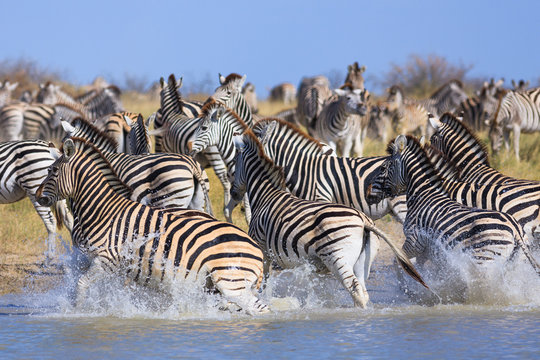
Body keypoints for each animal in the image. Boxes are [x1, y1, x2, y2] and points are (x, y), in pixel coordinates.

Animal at [35, 136, 268, 314]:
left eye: (52, 171)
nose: (37, 197)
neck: (102, 212)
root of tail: (257, 249)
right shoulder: (88, 258)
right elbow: (79, 282)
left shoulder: (108, 260)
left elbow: (81, 284)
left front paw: (77, 311)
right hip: (218, 285)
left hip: (231, 282)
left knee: (259, 309)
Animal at [228, 131, 426, 308]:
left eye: (235, 163)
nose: (233, 193)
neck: (265, 194)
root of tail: (364, 221)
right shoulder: (311, 265)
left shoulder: (263, 251)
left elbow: (263, 285)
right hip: (362, 261)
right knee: (363, 291)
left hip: (338, 256)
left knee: (355, 290)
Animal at [362, 135, 540, 292]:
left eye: (383, 168)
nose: (367, 194)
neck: (423, 193)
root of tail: (515, 230)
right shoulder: (427, 249)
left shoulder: (414, 240)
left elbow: (399, 263)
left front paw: (409, 290)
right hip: (514, 263)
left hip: (485, 260)